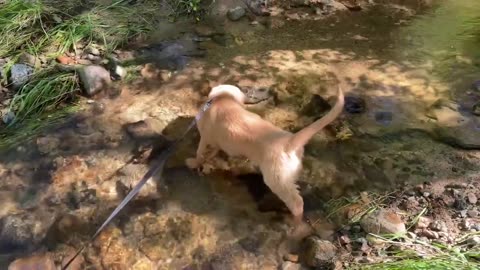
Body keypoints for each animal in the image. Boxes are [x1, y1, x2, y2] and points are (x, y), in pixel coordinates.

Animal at [185, 84, 344, 234]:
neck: (222, 99)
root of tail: (289, 141)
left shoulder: (205, 138)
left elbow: (199, 153)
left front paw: (194, 163)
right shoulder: (217, 142)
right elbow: (212, 152)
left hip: (276, 179)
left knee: (297, 203)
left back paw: (295, 225)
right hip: (288, 175)